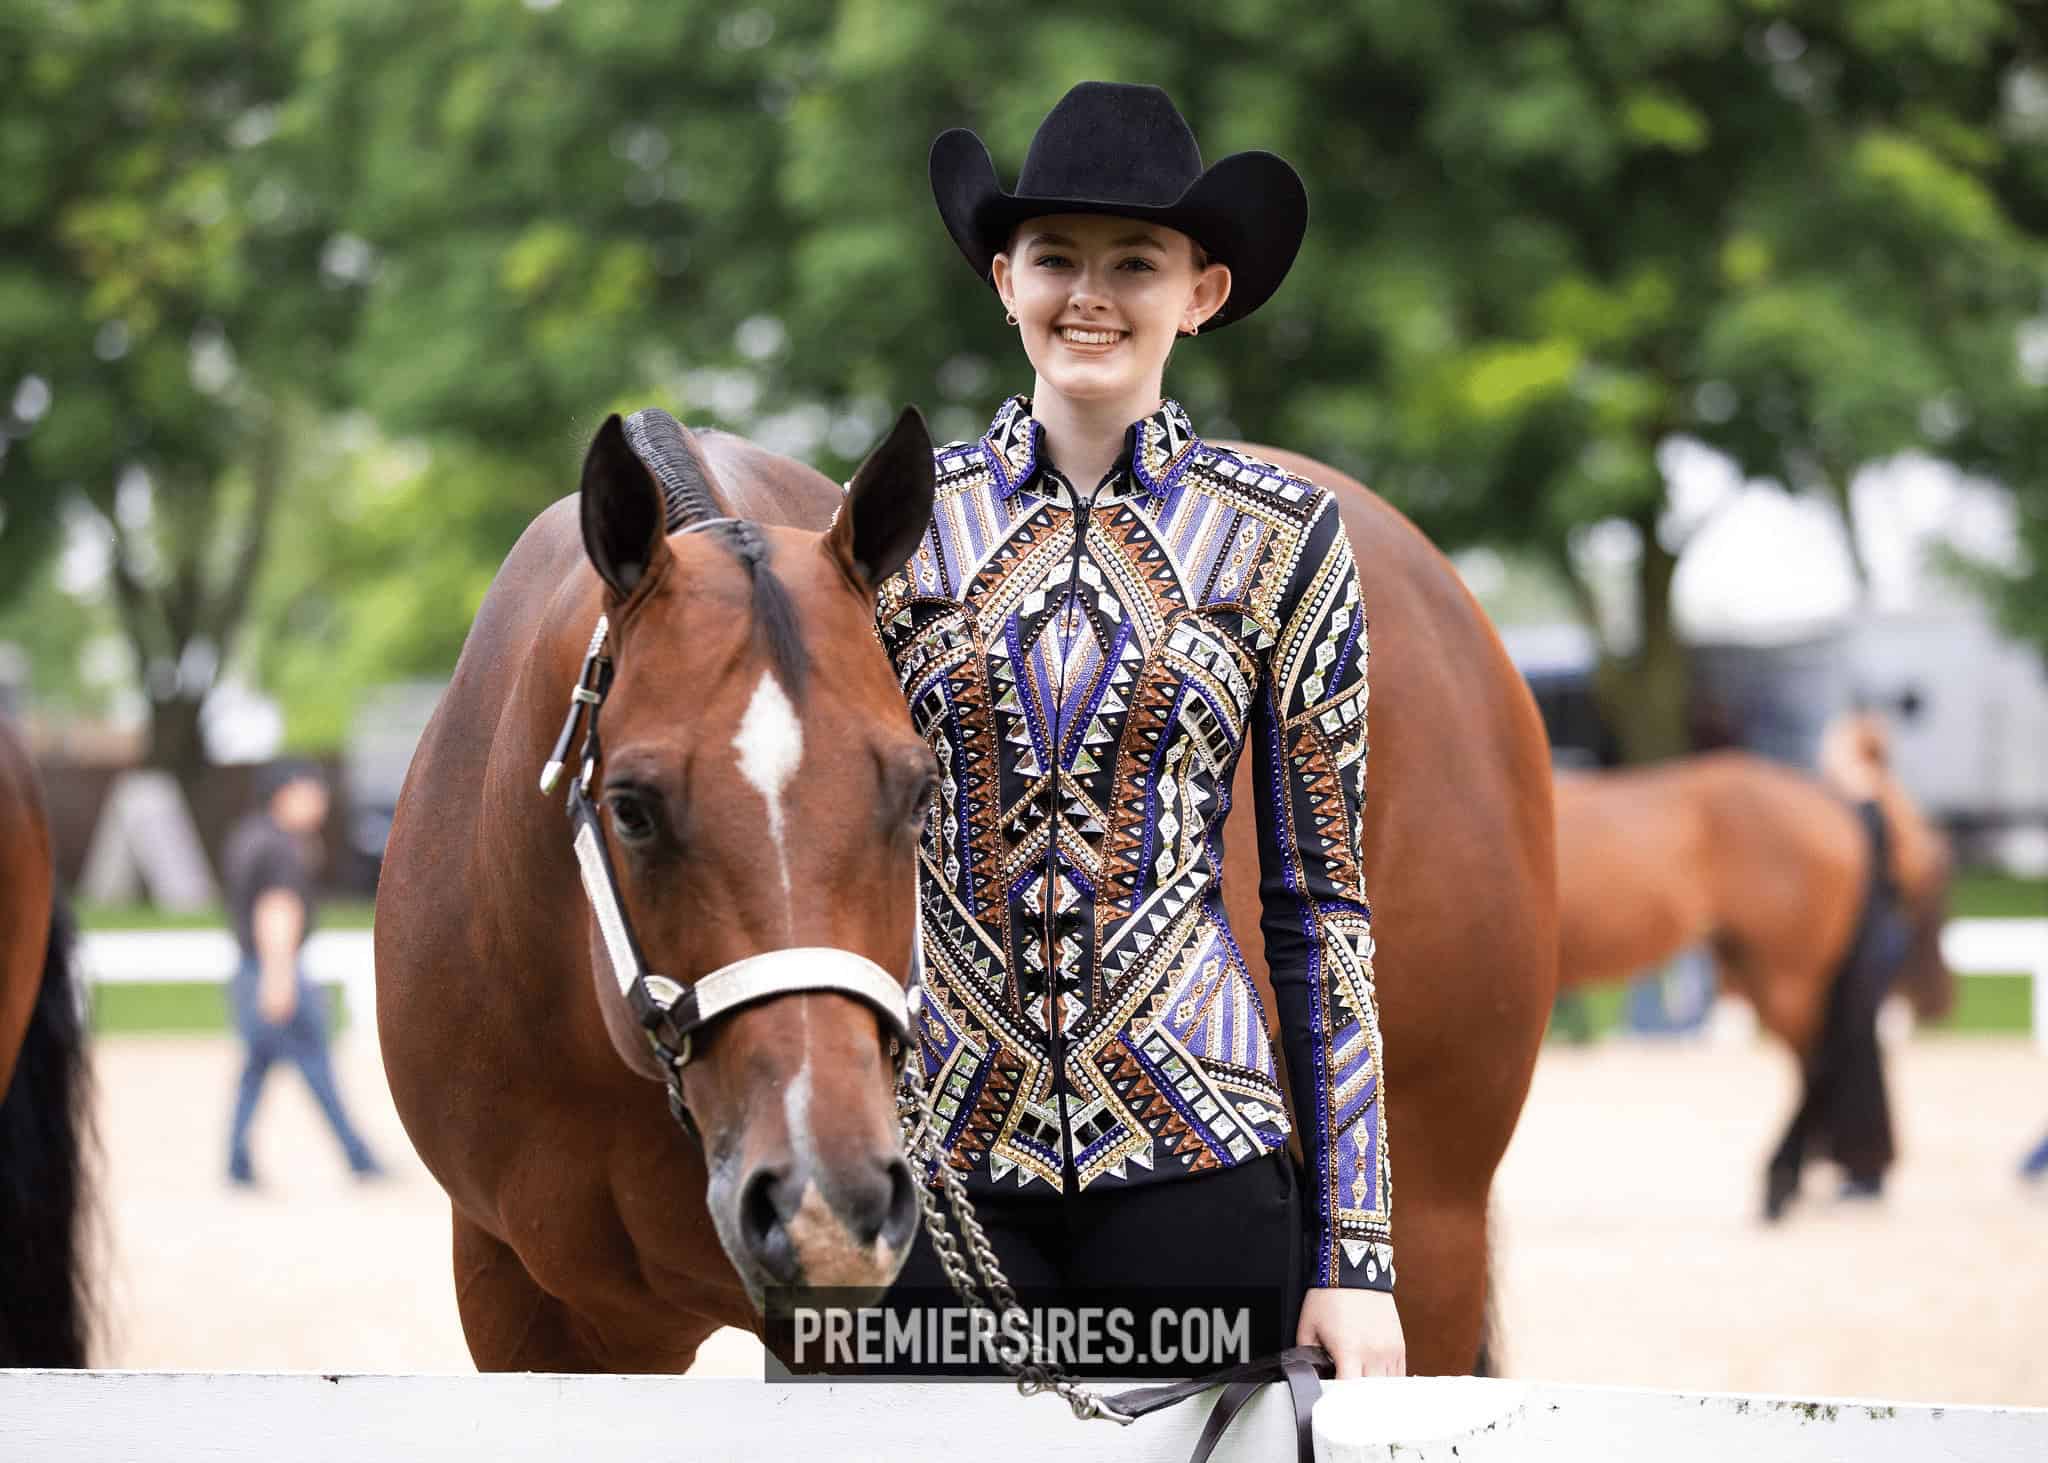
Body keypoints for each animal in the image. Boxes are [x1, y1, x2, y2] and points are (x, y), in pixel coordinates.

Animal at [1553, 733, 1955, 1215]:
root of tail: (1836, 806)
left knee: (1816, 1068)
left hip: (1786, 979)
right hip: (1760, 970)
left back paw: (1781, 1182)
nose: (1939, 1000)